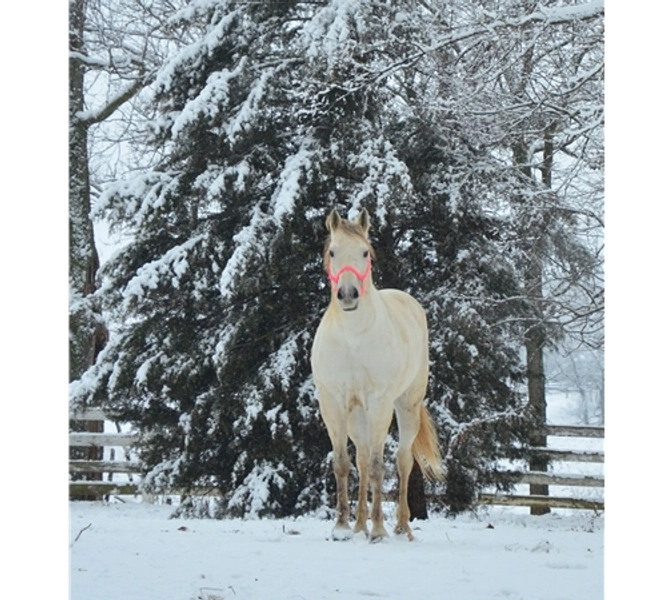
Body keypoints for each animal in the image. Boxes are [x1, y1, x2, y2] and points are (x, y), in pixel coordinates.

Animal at [310, 208, 444, 542]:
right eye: (333, 252)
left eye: (364, 252)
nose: (348, 294)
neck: (352, 338)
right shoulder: (332, 404)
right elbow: (344, 464)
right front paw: (341, 527)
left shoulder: (379, 403)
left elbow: (376, 466)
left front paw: (379, 530)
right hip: (357, 415)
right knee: (359, 459)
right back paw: (360, 523)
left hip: (405, 406)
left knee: (403, 461)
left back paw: (400, 526)